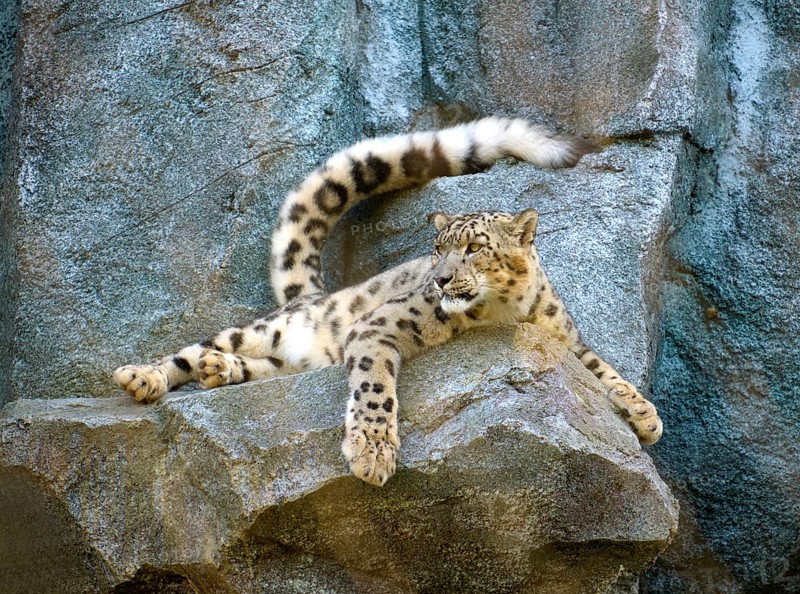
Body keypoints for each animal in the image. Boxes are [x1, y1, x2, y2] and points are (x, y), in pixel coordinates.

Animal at [114, 117, 663, 486]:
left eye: (474, 248)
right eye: (438, 249)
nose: (441, 280)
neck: (502, 313)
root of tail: (317, 295)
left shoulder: (562, 336)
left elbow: (603, 367)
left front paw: (645, 414)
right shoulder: (382, 323)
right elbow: (375, 387)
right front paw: (372, 454)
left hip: (290, 363)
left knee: (262, 369)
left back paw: (219, 369)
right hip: (265, 327)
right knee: (190, 351)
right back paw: (144, 376)